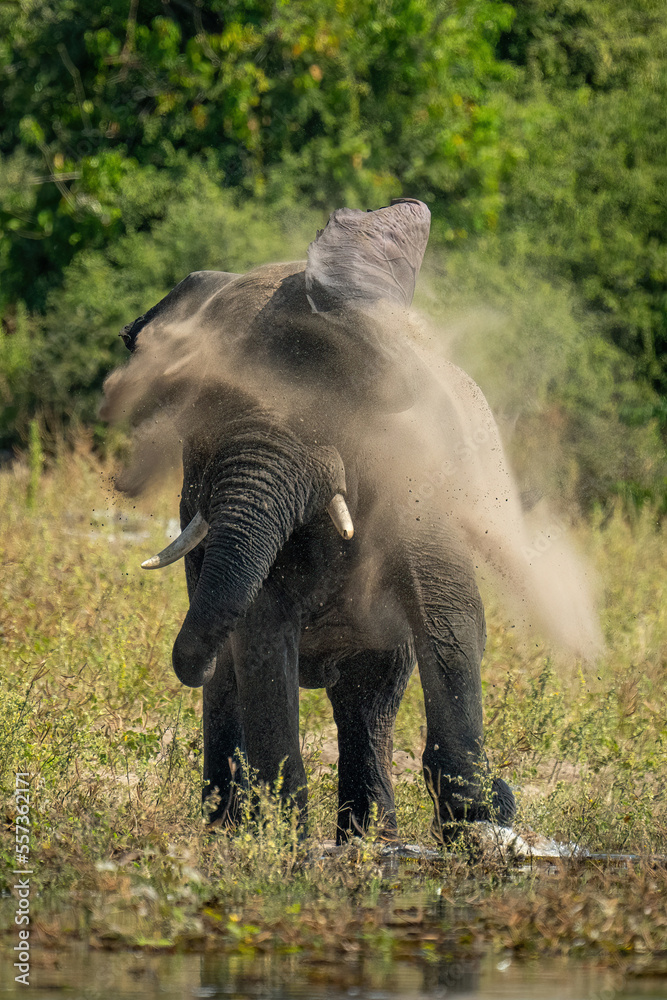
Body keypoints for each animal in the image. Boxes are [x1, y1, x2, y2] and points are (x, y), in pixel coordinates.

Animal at [102, 198, 600, 842]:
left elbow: (447, 616)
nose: (191, 659)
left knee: (371, 696)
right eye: (196, 422)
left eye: (328, 405)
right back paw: (237, 829)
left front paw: (481, 825)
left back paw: (370, 841)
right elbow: (262, 633)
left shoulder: (416, 475)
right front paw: (283, 843)